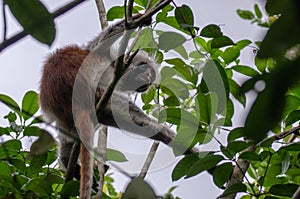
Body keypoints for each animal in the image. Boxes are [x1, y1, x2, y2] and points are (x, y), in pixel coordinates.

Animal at [38, 19, 196, 199]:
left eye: (150, 77)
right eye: (146, 70)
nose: (148, 80)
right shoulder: (104, 57)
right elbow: (101, 42)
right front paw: (140, 19)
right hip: (99, 93)